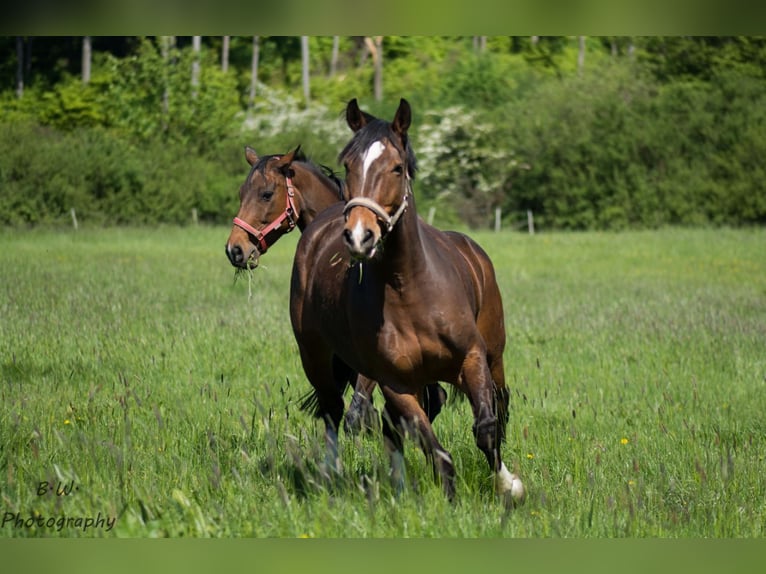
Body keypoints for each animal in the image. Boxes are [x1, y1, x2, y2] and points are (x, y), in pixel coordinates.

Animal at [289, 98, 525, 502]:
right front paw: (449, 499)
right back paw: (335, 475)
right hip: (314, 356)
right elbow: (436, 450)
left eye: (397, 167)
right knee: (335, 411)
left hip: (495, 354)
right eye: (348, 164)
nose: (359, 235)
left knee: (497, 401)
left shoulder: (473, 358)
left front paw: (508, 485)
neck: (411, 289)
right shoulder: (395, 382)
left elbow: (486, 428)